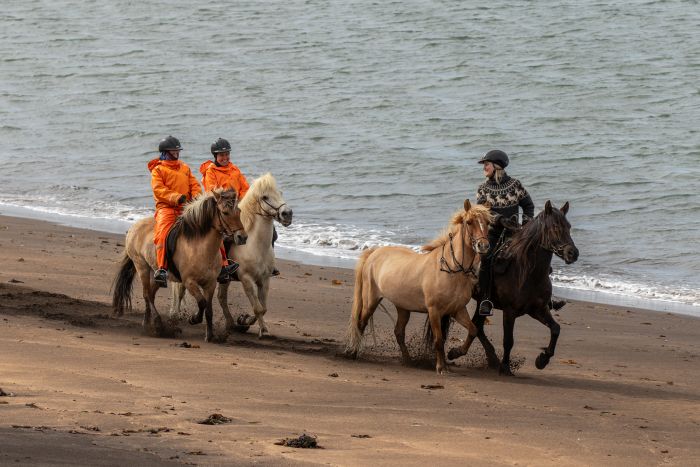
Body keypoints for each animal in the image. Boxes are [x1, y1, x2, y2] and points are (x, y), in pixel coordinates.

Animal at [112, 190, 246, 344]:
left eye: (239, 211)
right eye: (225, 212)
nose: (242, 237)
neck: (199, 247)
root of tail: (134, 226)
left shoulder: (210, 284)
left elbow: (209, 310)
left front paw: (210, 336)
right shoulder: (189, 282)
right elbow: (202, 303)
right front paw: (194, 319)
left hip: (155, 273)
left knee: (150, 294)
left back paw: (147, 323)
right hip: (142, 267)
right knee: (146, 294)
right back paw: (157, 324)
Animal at [171, 174, 294, 338]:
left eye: (280, 193)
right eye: (265, 197)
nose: (287, 214)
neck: (254, 246)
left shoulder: (264, 279)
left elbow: (263, 307)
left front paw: (253, 324)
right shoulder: (246, 279)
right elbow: (258, 307)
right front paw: (249, 322)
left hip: (225, 279)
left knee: (221, 297)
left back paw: (231, 323)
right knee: (180, 291)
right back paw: (176, 316)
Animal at [346, 199, 492, 374]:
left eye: (488, 223)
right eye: (469, 222)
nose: (483, 246)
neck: (451, 269)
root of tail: (373, 253)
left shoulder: (458, 310)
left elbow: (473, 331)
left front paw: (454, 353)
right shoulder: (434, 311)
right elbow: (438, 340)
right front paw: (441, 367)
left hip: (402, 307)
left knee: (399, 332)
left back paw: (408, 361)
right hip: (371, 300)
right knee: (361, 323)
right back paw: (354, 353)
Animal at [448, 201, 580, 376]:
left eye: (569, 227)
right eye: (555, 227)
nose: (573, 253)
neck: (528, 273)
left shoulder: (538, 309)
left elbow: (556, 329)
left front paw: (542, 360)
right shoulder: (509, 312)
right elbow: (508, 341)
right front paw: (505, 367)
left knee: (477, 326)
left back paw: (485, 358)